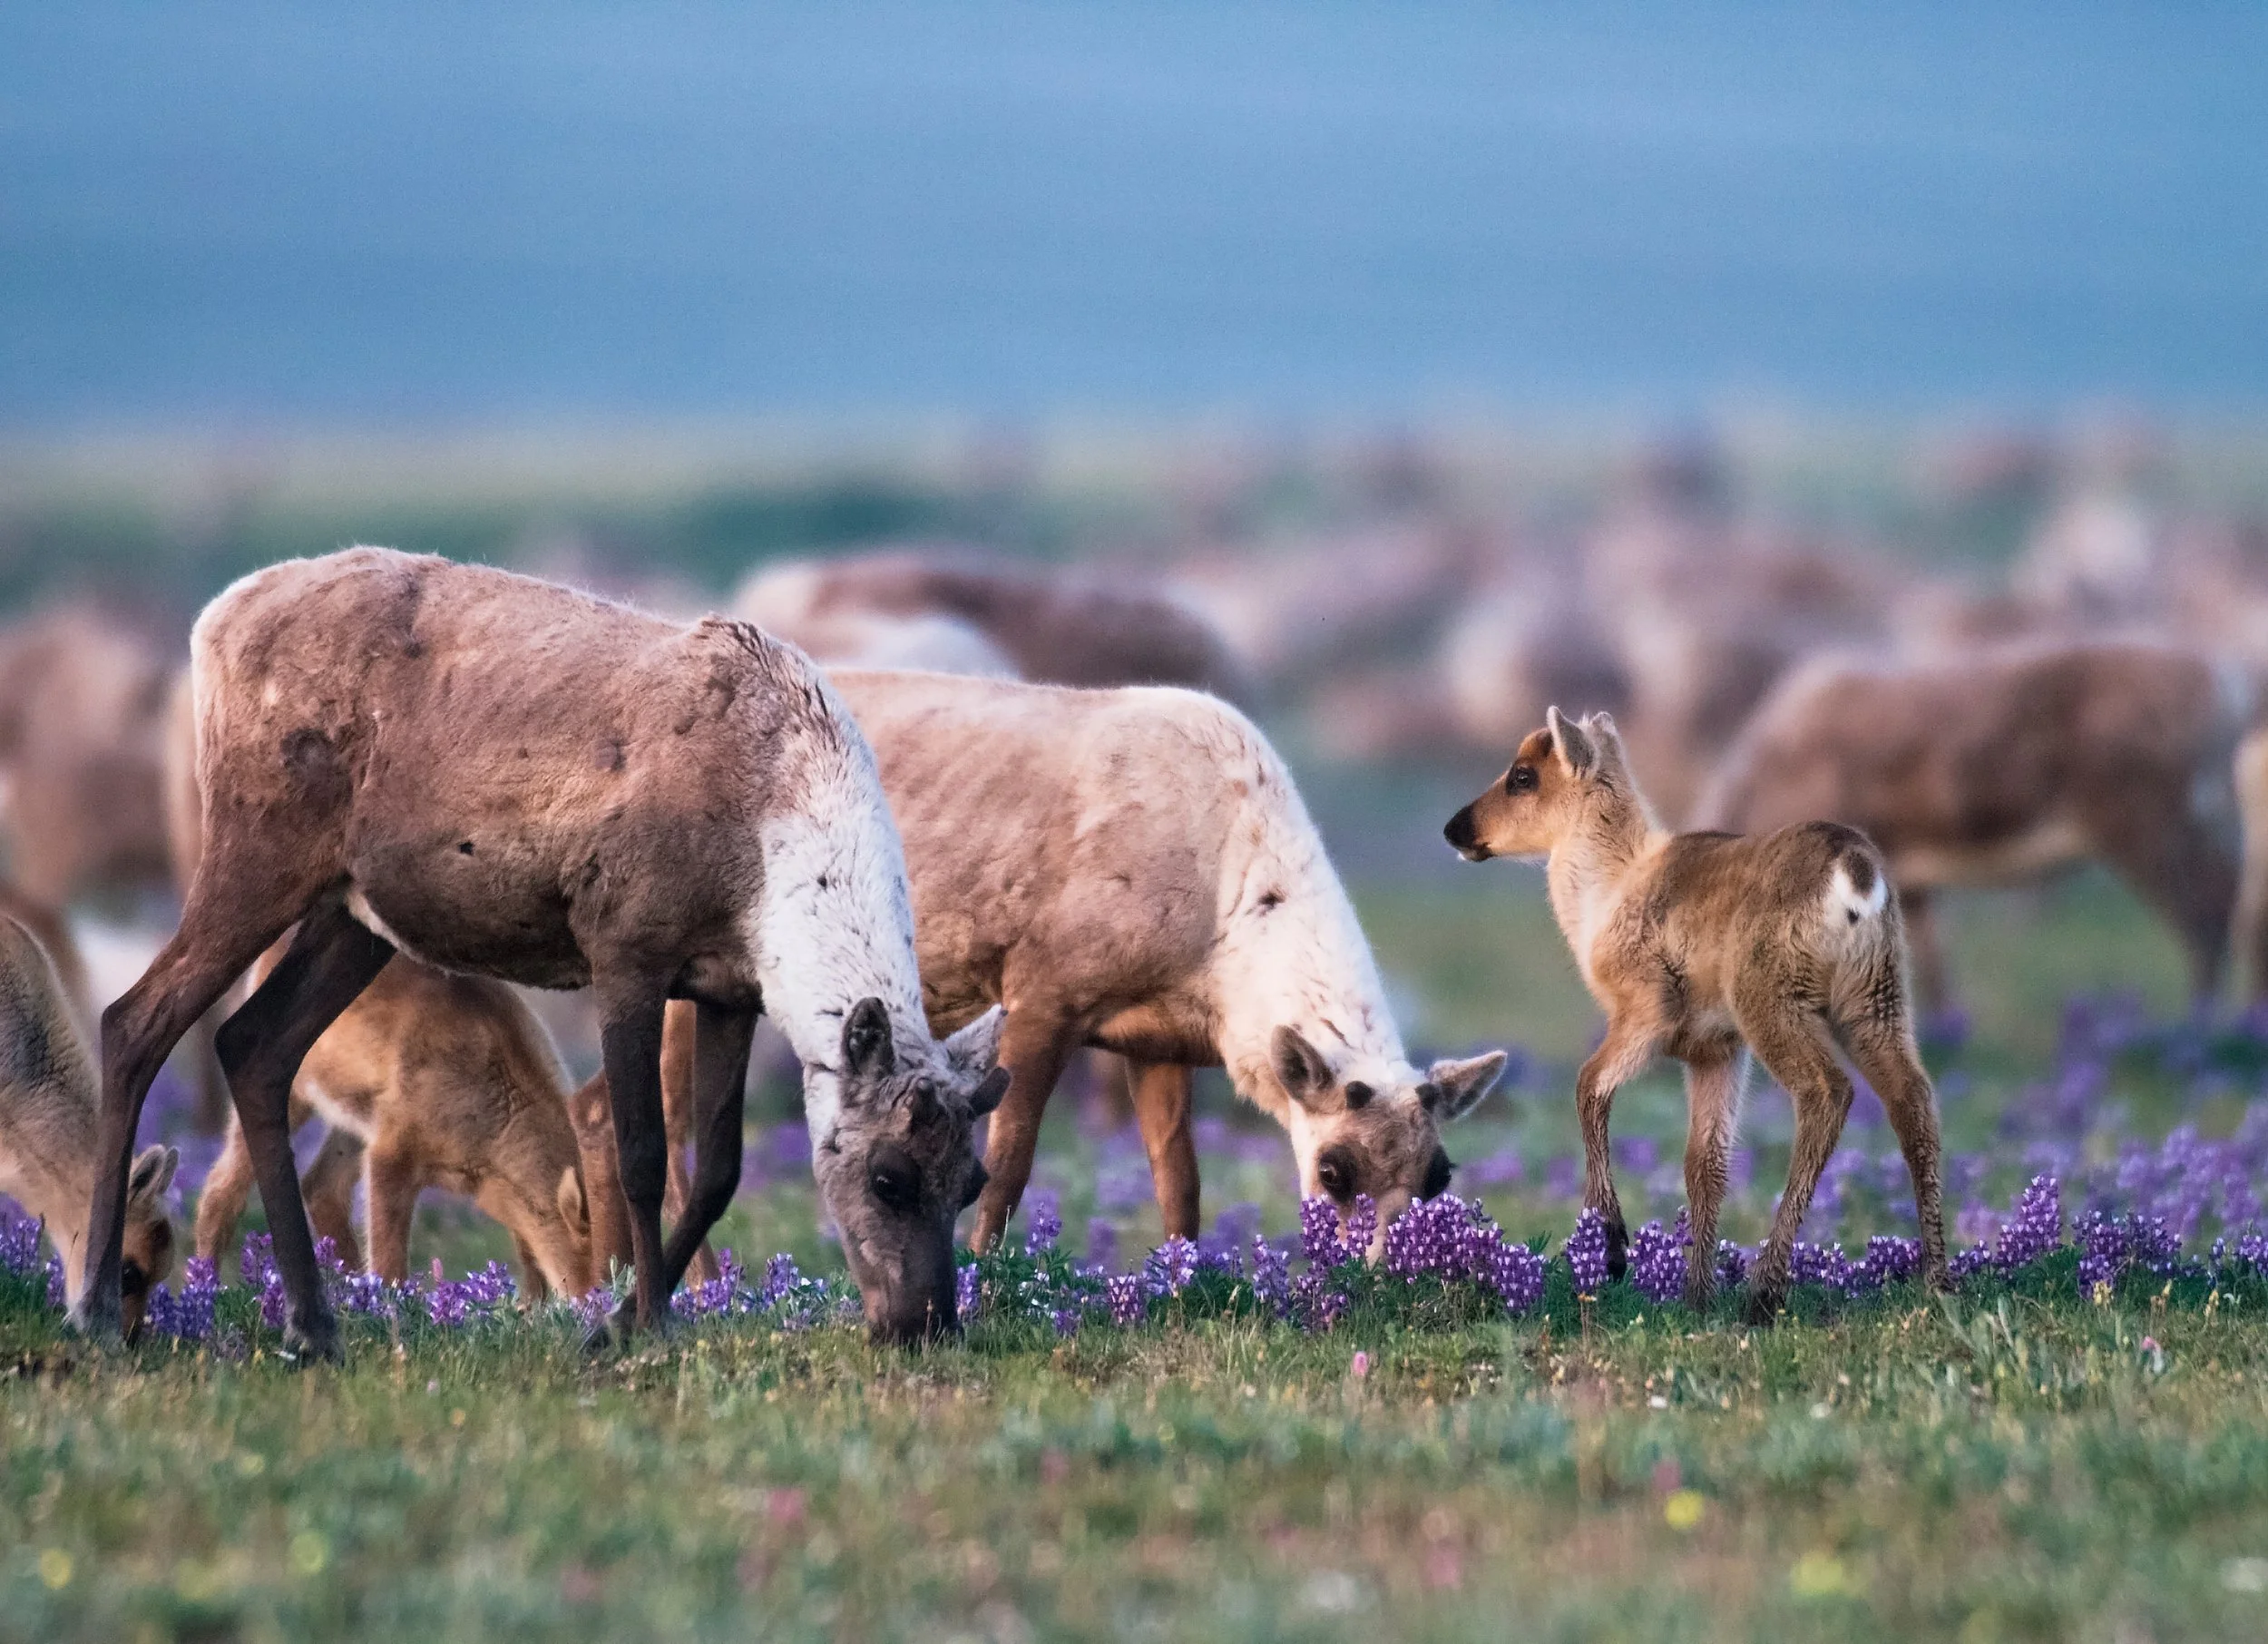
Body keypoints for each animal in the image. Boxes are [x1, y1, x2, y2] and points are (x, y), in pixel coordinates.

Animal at [73, 546, 1008, 1358]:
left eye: (971, 1181)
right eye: (888, 1176)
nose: (925, 1325)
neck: (772, 854)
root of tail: (210, 623)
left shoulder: (728, 989)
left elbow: (720, 1170)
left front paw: (622, 1319)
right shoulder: (627, 950)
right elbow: (642, 1154)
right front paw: (638, 1326)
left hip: (352, 914)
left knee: (255, 1044)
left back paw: (315, 1324)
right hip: (256, 851)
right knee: (135, 1020)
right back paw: (94, 1306)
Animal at [821, 669, 1509, 1256]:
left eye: (1440, 1175)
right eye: (1332, 1169)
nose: (1384, 1275)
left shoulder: (1160, 1043)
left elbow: (1180, 1186)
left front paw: (1179, 1285)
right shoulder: (1040, 992)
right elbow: (1008, 1167)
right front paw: (982, 1280)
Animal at [1445, 707, 1949, 1323]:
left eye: (1522, 776)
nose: (1454, 830)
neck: (1609, 894)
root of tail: (1857, 869)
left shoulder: (1649, 1012)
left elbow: (1589, 1084)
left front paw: (1612, 1245)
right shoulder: (1716, 1050)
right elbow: (1704, 1165)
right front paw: (1696, 1297)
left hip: (1771, 1001)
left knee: (1826, 1091)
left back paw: (1764, 1292)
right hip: (1876, 1000)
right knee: (1913, 1100)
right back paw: (1937, 1282)